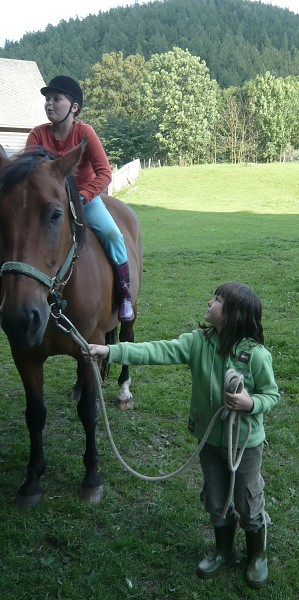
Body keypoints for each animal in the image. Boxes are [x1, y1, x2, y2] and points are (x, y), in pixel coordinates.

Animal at [0, 143, 144, 508]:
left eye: (55, 214)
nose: (20, 318)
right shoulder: (25, 355)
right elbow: (35, 414)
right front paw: (32, 480)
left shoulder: (88, 347)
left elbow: (88, 413)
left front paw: (91, 477)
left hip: (130, 310)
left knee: (127, 339)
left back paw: (123, 391)